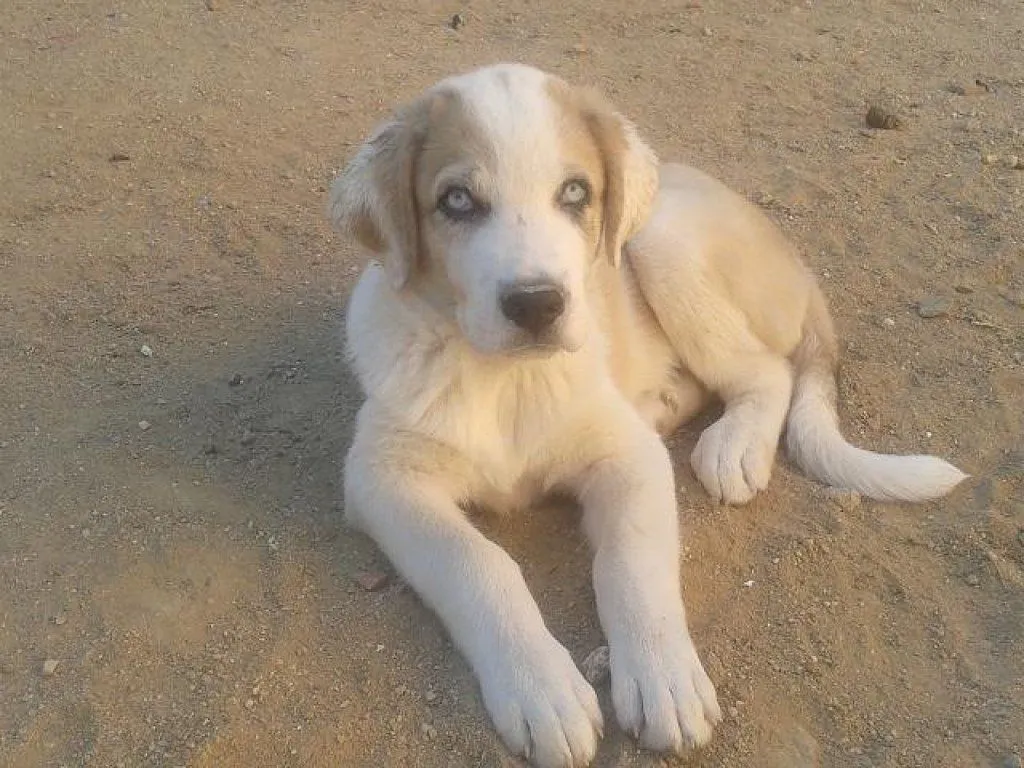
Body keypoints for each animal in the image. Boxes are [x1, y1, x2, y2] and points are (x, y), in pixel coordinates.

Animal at [329, 63, 966, 765]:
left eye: (575, 192)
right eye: (457, 201)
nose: (537, 304)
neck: (507, 380)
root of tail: (800, 267)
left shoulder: (627, 457)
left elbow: (632, 564)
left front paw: (664, 681)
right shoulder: (384, 479)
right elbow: (477, 563)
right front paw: (541, 689)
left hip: (661, 241)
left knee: (767, 373)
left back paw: (734, 445)